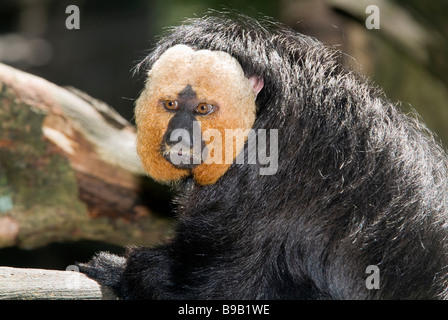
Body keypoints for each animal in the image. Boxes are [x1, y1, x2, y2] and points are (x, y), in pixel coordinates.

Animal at [78, 13, 448, 300]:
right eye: (170, 105)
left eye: (202, 109)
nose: (178, 135)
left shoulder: (259, 169)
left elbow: (224, 285)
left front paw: (121, 272)